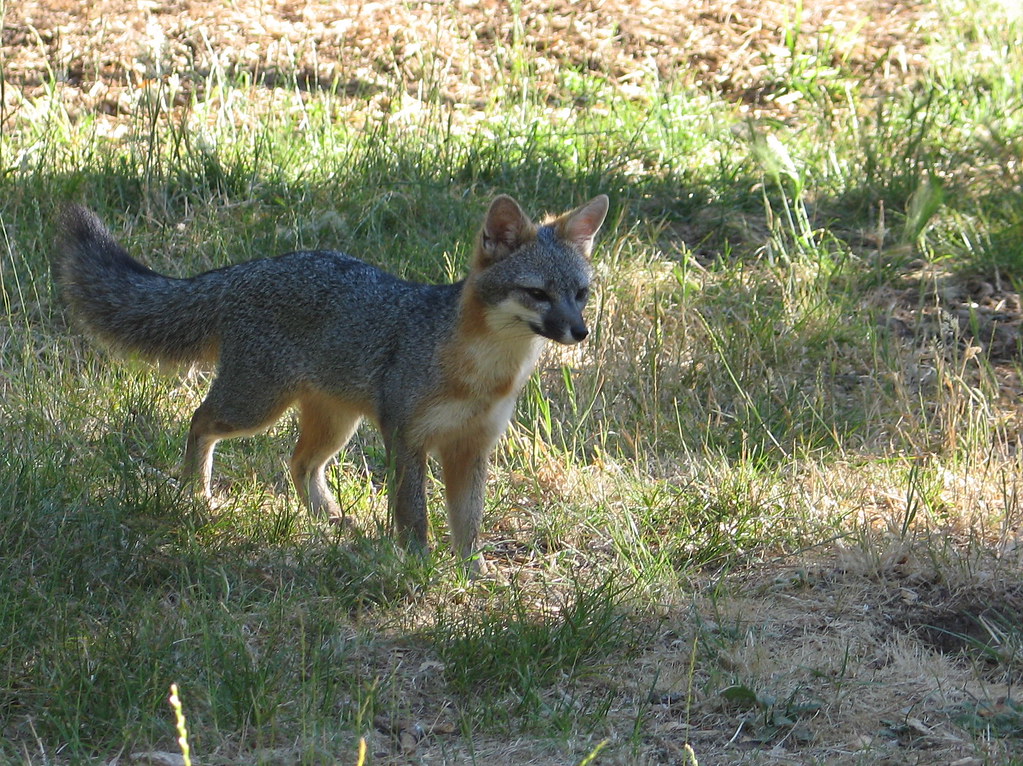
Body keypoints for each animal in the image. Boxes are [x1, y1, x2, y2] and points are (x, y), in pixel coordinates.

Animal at [55, 194, 609, 571]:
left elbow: (467, 523)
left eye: (580, 294)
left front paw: (472, 574)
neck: (482, 374)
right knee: (199, 420)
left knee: (299, 463)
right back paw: (197, 493)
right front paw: (419, 567)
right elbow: (414, 514)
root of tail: (245, 270)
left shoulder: (470, 447)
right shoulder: (407, 439)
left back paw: (327, 519)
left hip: (335, 425)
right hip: (254, 408)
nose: (579, 332)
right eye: (538, 294)